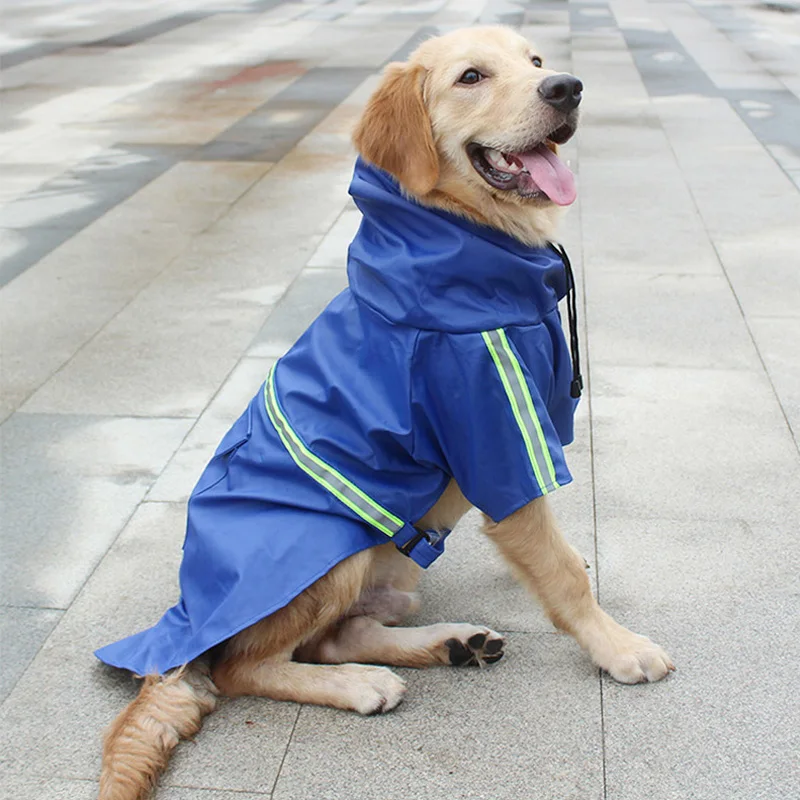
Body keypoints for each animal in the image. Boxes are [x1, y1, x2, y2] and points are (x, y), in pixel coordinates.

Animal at [100, 26, 676, 800]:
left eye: (534, 61)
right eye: (471, 77)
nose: (567, 87)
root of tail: (185, 620)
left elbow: (553, 554)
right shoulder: (497, 432)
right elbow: (560, 571)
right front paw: (619, 648)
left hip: (396, 572)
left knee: (336, 635)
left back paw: (452, 644)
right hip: (331, 546)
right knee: (244, 667)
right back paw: (360, 685)